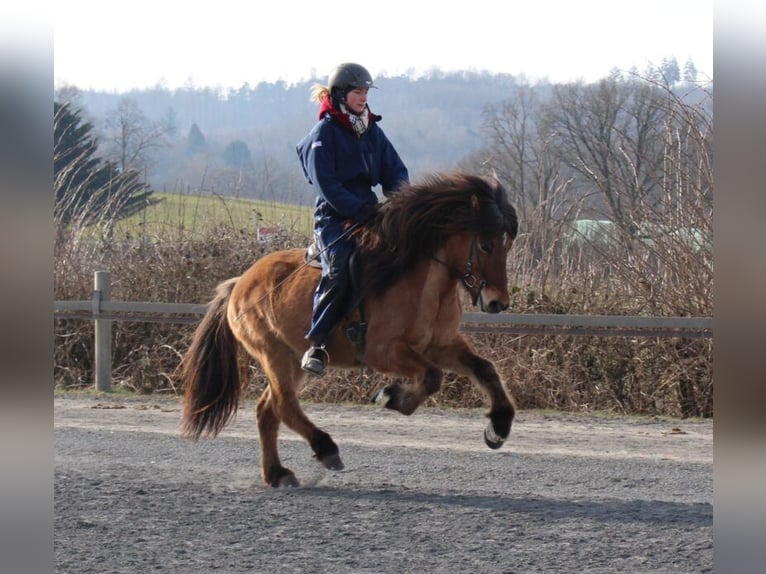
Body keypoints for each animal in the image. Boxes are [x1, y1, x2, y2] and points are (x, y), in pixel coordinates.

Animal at [180, 171, 519, 487]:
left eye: (508, 245)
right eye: (486, 244)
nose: (498, 302)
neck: (423, 283)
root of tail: (240, 283)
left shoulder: (441, 345)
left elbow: (484, 369)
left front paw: (498, 427)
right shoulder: (383, 352)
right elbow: (432, 376)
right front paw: (392, 398)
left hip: (294, 360)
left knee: (268, 410)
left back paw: (277, 474)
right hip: (272, 353)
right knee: (283, 404)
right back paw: (325, 448)